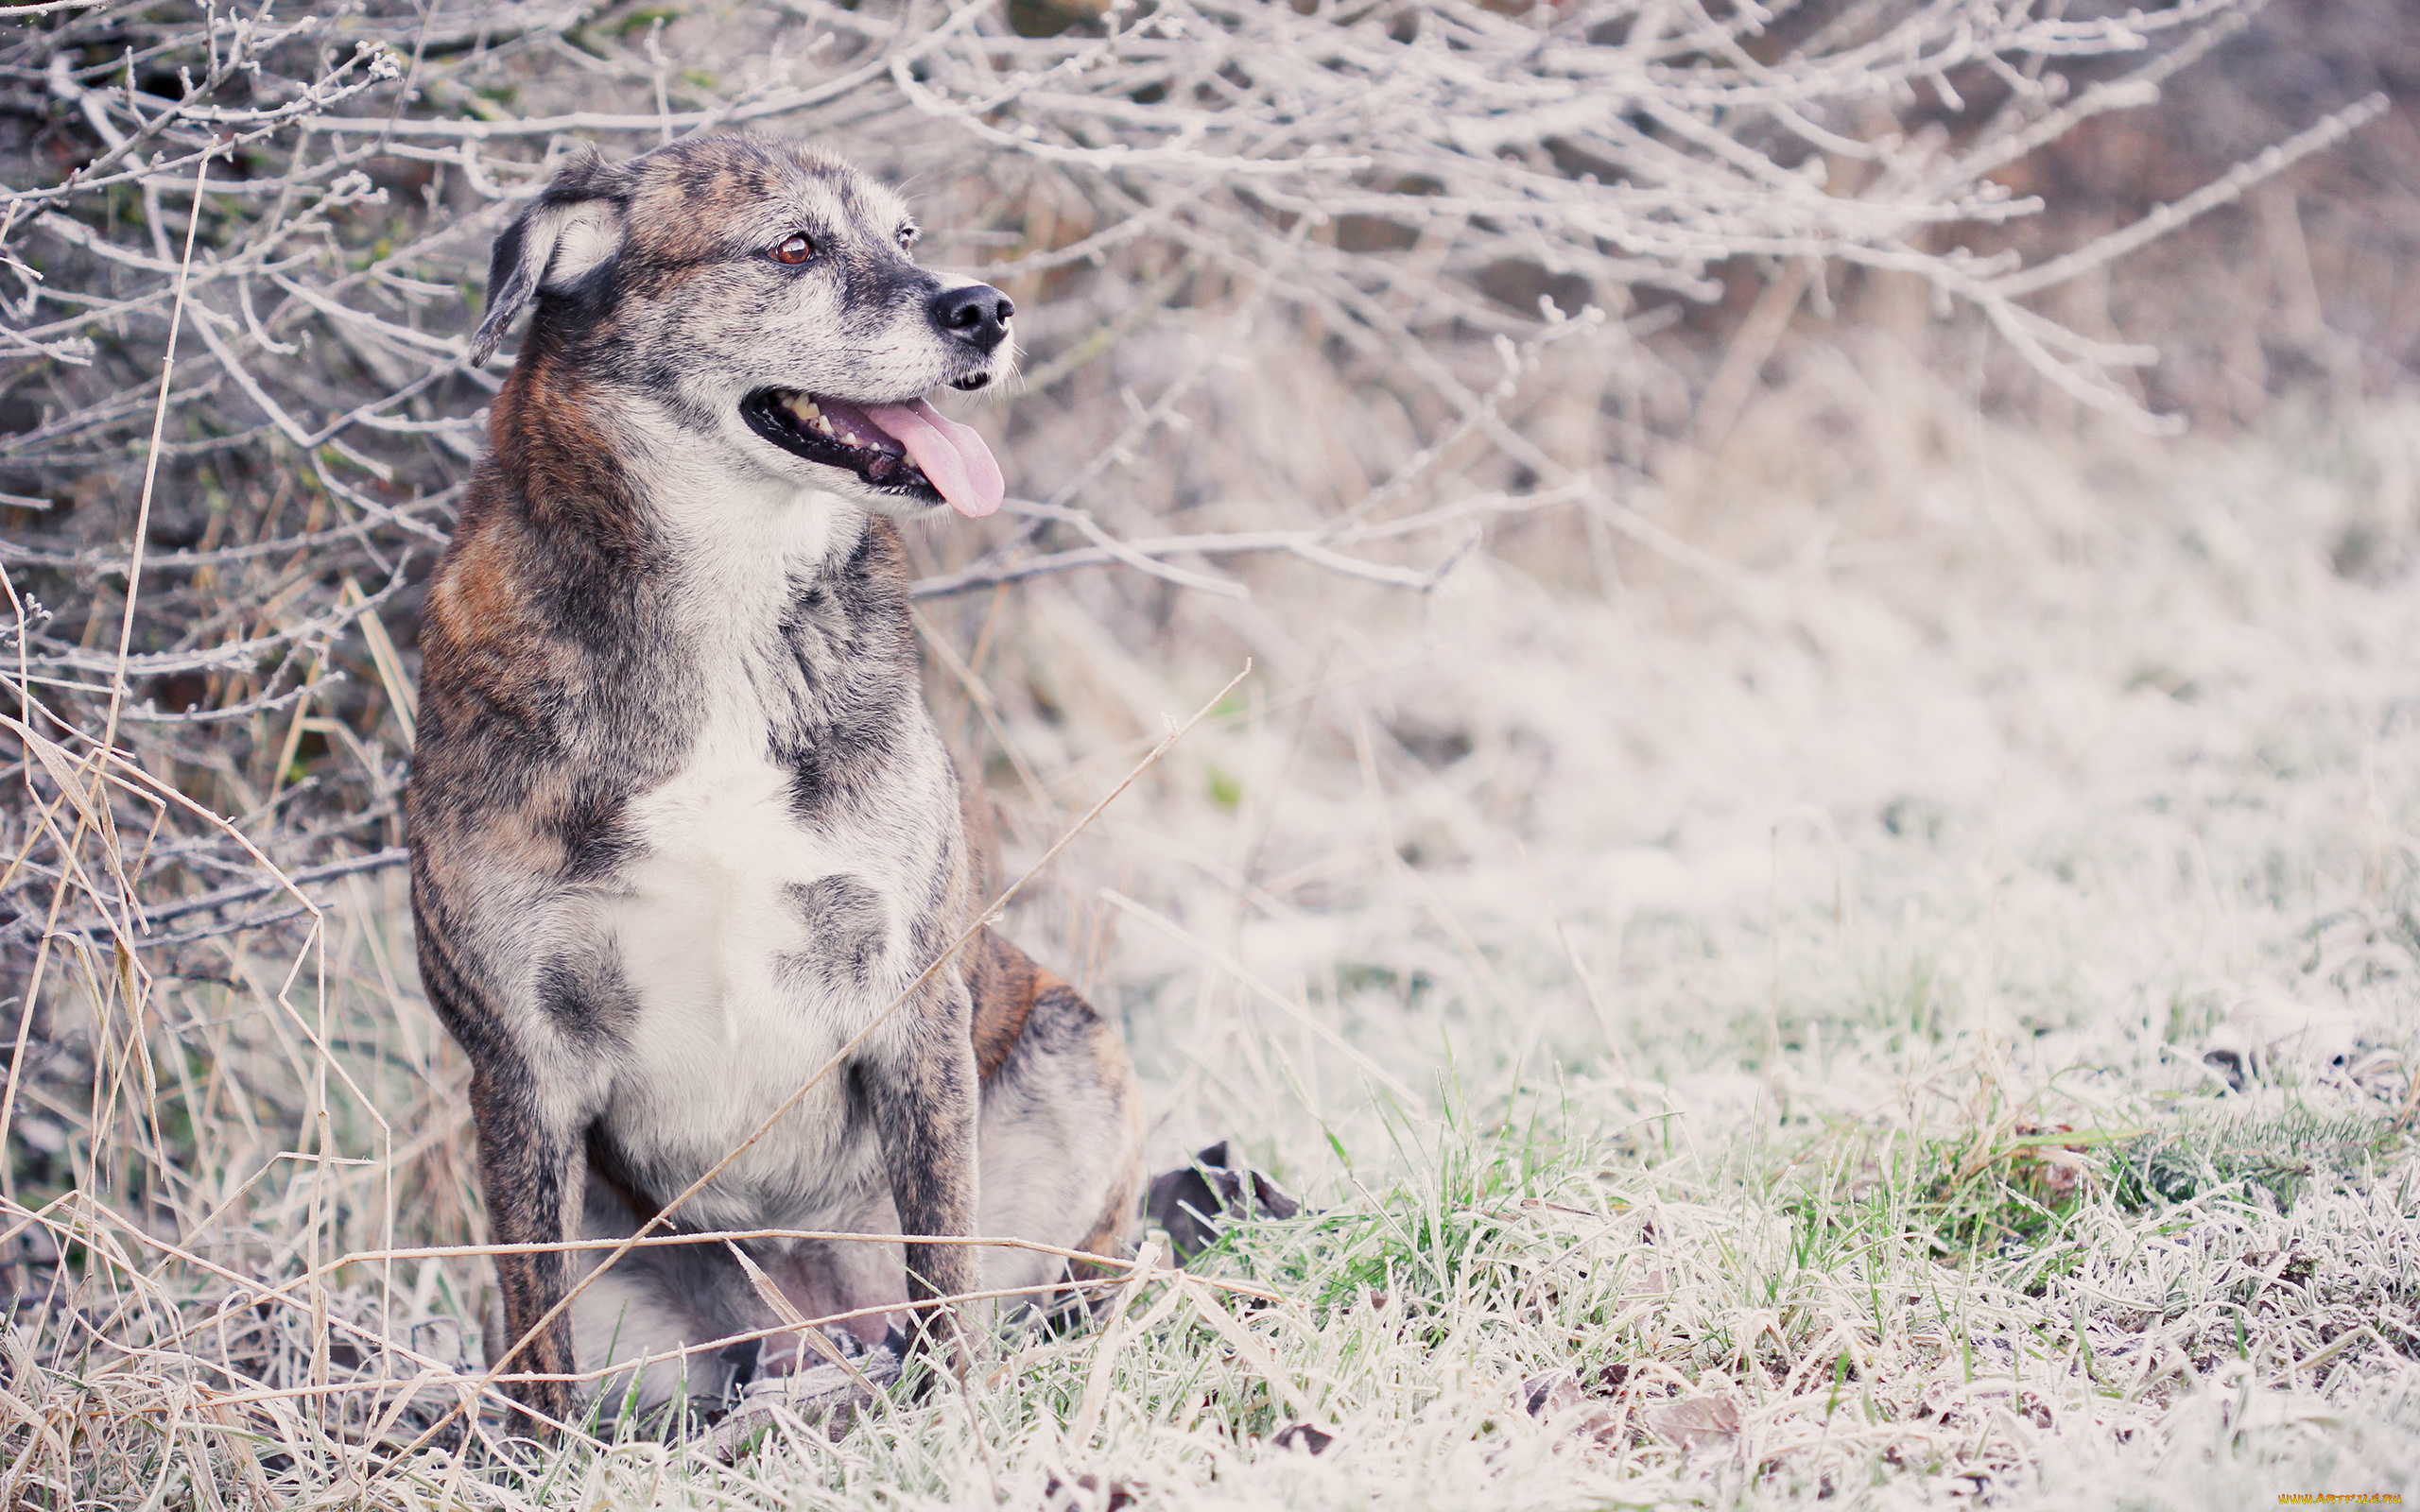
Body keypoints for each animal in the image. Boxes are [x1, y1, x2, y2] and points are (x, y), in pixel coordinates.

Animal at [406, 138, 1142, 1422]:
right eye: (792, 247)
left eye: (905, 235)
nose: (986, 309)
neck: (726, 602)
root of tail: (817, 1331)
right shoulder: (522, 1064)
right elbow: (536, 1340)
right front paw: (538, 1458)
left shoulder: (909, 997)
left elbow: (944, 1251)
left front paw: (953, 1409)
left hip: (1072, 1051)